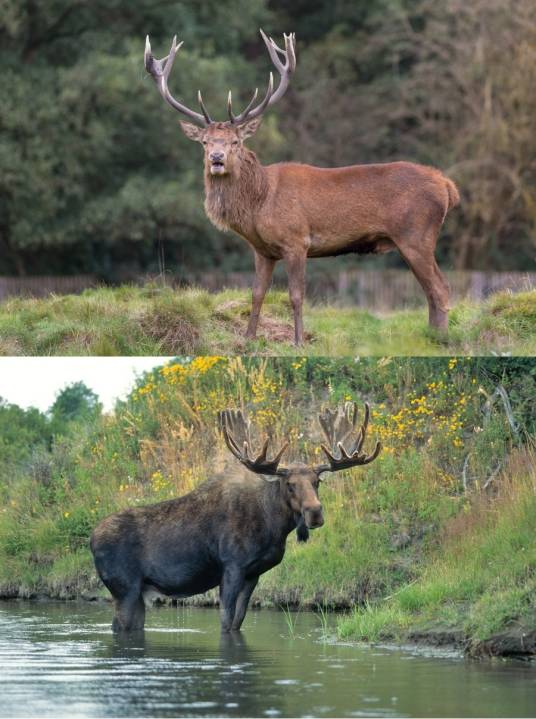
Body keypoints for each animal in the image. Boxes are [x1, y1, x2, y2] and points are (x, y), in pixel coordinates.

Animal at [90, 401, 381, 633]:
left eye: (317, 481)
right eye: (289, 484)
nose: (315, 512)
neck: (273, 527)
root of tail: (90, 540)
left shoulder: (254, 574)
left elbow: (237, 621)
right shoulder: (232, 566)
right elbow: (226, 621)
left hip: (136, 593)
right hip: (125, 589)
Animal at [144, 31, 460, 344]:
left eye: (236, 141)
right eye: (205, 142)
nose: (217, 158)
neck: (259, 203)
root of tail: (446, 185)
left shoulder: (297, 240)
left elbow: (296, 295)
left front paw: (298, 341)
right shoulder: (262, 250)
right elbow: (256, 293)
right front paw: (248, 338)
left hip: (416, 235)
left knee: (441, 288)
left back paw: (442, 340)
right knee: (431, 291)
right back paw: (432, 338)